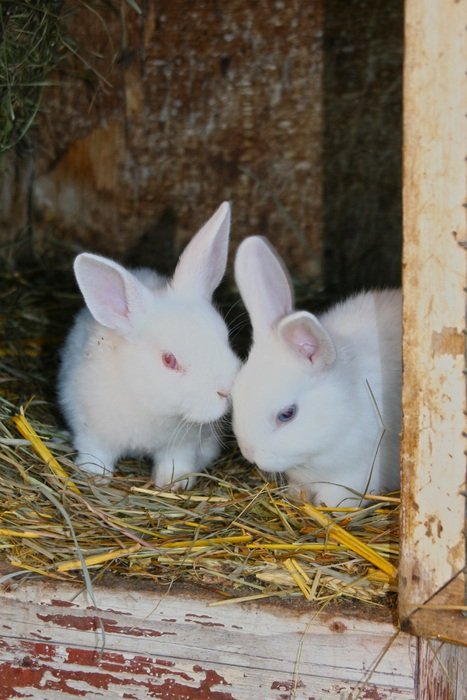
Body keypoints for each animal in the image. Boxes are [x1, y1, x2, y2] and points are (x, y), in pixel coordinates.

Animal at [57, 201, 240, 490]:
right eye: (169, 360)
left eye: (225, 338)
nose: (226, 391)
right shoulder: (92, 431)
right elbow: (96, 453)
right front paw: (94, 476)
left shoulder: (184, 445)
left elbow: (176, 461)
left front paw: (173, 484)